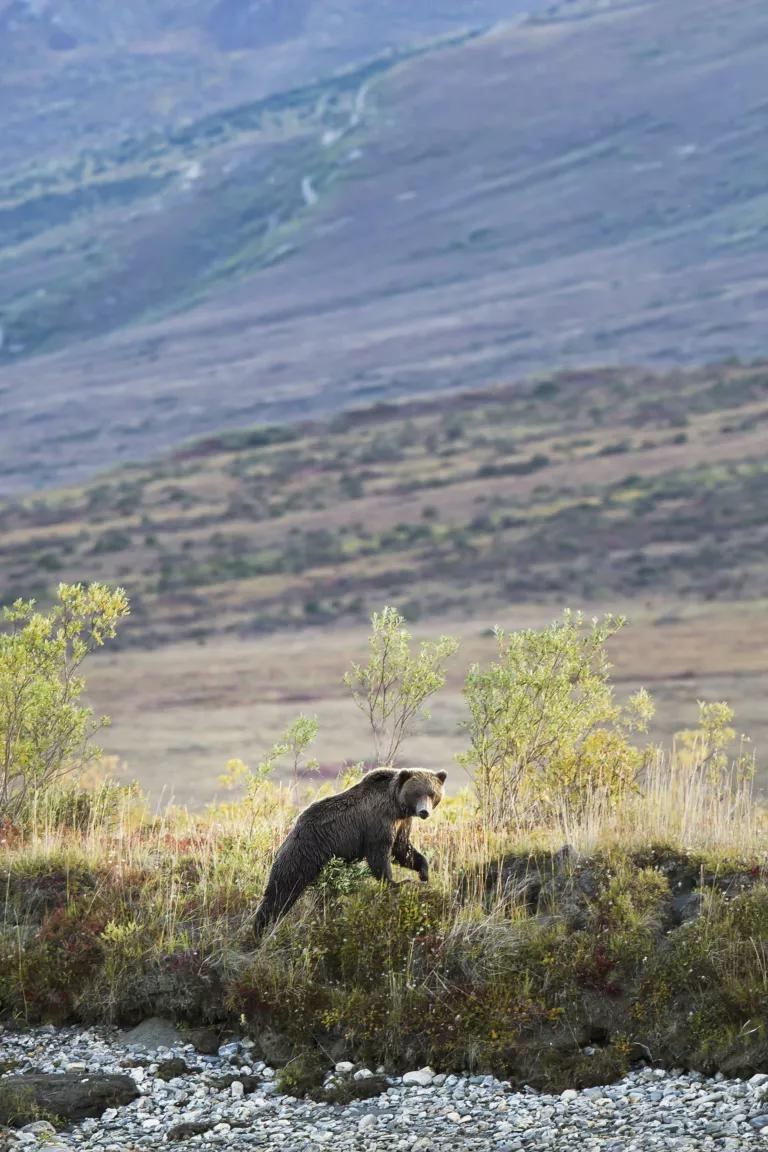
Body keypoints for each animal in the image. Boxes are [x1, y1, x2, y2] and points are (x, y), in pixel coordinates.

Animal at [253, 767, 447, 937]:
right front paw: (396, 882)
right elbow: (380, 855)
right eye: (416, 793)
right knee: (281, 889)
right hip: (304, 853)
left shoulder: (402, 823)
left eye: (432, 793)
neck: (397, 806)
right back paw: (260, 928)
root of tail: (290, 834)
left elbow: (402, 849)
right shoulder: (378, 823)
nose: (424, 811)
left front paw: (424, 873)